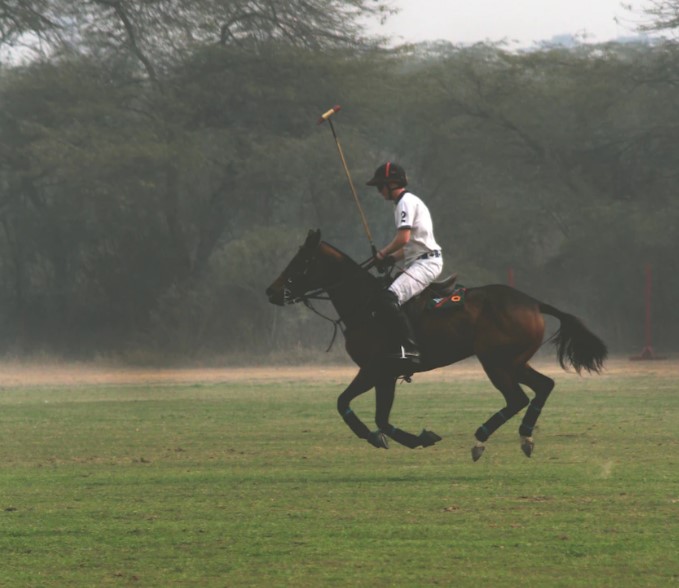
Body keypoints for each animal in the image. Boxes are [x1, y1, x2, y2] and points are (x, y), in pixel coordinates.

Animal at [266, 230, 604, 460]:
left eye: (301, 261)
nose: (272, 291)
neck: (365, 306)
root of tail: (534, 303)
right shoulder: (385, 374)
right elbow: (377, 416)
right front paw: (415, 437)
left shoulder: (376, 369)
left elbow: (347, 404)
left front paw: (384, 437)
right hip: (514, 361)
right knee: (544, 385)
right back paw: (525, 437)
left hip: (495, 361)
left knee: (517, 398)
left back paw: (481, 439)